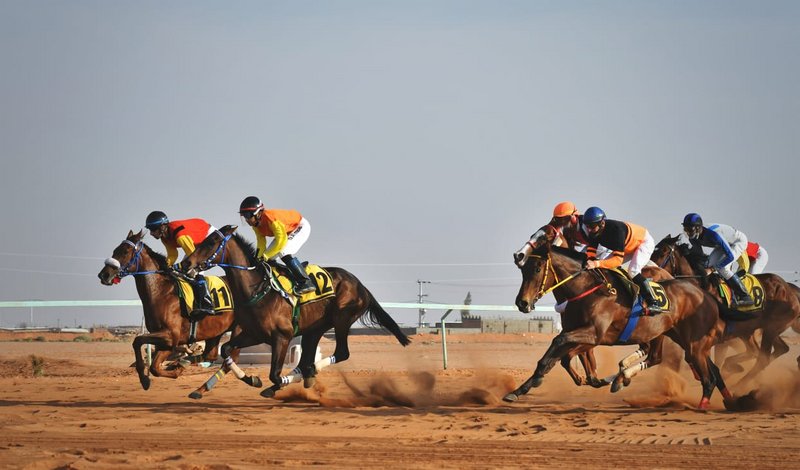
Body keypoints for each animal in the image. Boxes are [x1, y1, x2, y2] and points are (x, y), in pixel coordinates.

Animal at [96, 230, 238, 390]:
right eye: (115, 250)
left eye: (125, 251)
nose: (104, 275)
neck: (161, 292)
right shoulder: (165, 342)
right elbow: (154, 367)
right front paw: (155, 375)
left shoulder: (171, 336)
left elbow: (138, 341)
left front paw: (145, 378)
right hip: (215, 332)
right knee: (211, 355)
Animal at [177, 226, 410, 398]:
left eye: (211, 242)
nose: (186, 262)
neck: (257, 289)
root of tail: (360, 284)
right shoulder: (254, 334)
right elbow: (226, 350)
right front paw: (252, 379)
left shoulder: (282, 336)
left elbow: (275, 374)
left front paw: (274, 383)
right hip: (314, 329)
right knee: (307, 358)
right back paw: (305, 375)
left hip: (342, 319)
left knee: (340, 353)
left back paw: (307, 374)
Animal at [506, 226, 736, 410]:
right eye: (524, 271)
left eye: (537, 269)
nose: (522, 303)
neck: (585, 289)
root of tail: (704, 294)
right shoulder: (578, 332)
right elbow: (559, 358)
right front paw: (519, 389)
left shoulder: (593, 334)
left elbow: (558, 345)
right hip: (670, 334)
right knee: (660, 358)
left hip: (690, 340)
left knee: (701, 370)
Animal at [648, 235, 800, 386]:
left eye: (662, 252)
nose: (648, 268)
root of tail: (790, 290)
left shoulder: (716, 337)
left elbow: (714, 362)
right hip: (761, 329)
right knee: (775, 350)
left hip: (771, 328)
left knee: (763, 358)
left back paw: (740, 385)